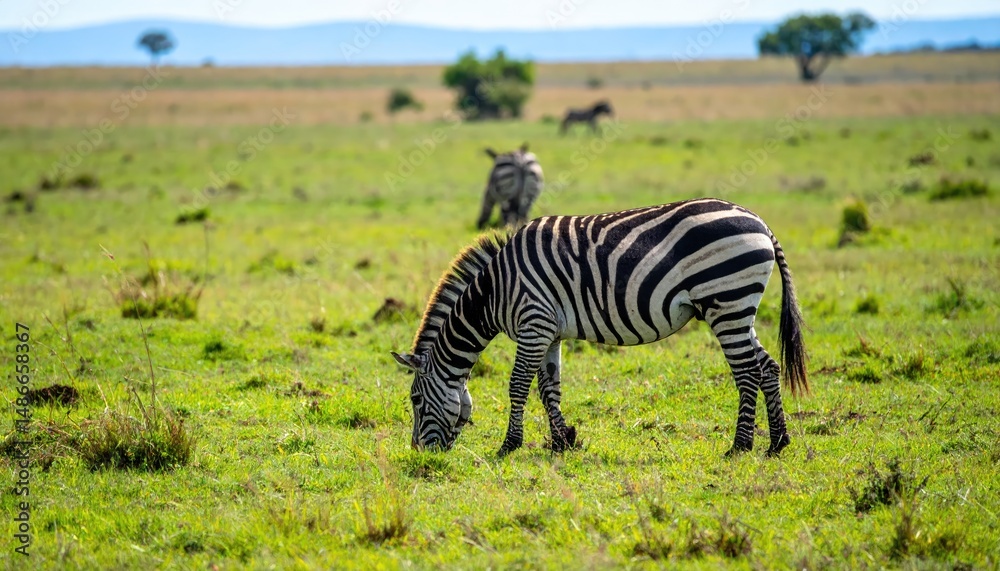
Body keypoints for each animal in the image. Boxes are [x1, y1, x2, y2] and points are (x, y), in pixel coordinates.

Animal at [391, 198, 808, 458]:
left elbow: (518, 385)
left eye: (415, 400)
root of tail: (760, 223)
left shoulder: (533, 322)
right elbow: (549, 388)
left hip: (726, 300)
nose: (419, 454)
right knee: (767, 366)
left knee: (746, 371)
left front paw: (509, 445)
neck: (495, 290)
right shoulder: (550, 331)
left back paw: (739, 447)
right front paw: (563, 442)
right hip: (738, 307)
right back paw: (777, 442)